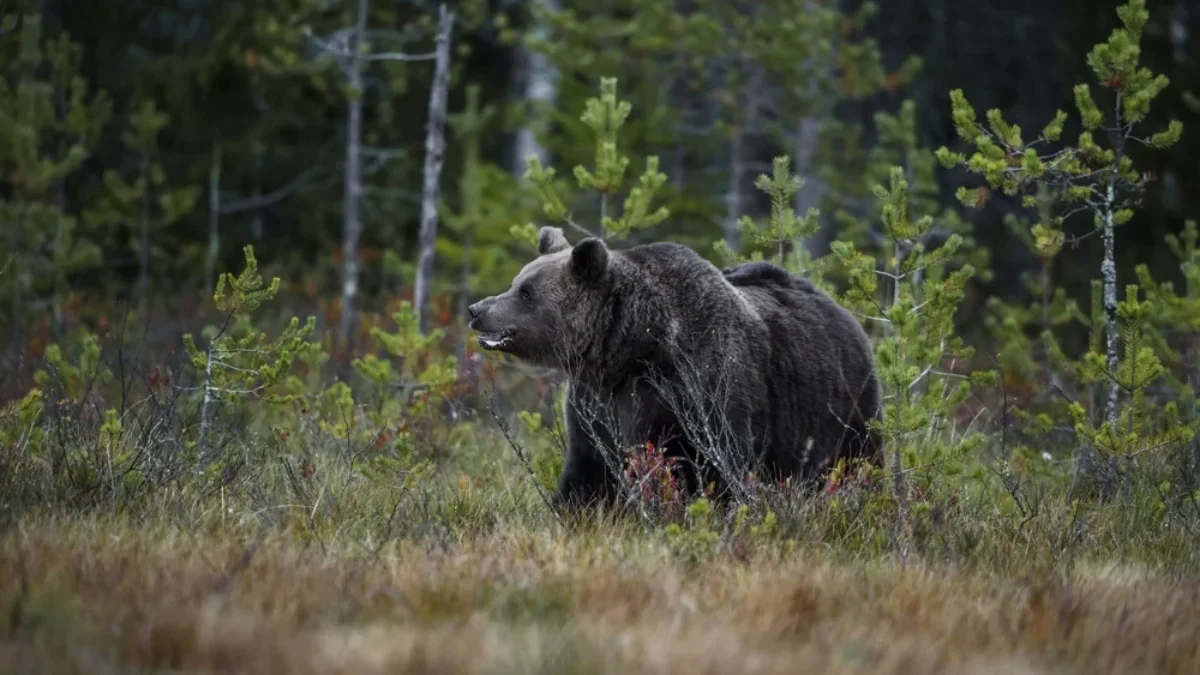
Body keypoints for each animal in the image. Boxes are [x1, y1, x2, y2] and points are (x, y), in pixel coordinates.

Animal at [468, 225, 883, 509]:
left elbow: (717, 469)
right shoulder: (596, 402)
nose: (476, 310)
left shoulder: (698, 392)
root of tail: (844, 313)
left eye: (526, 293)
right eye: (516, 282)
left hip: (844, 409)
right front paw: (573, 511)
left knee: (860, 459)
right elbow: (588, 469)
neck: (629, 348)